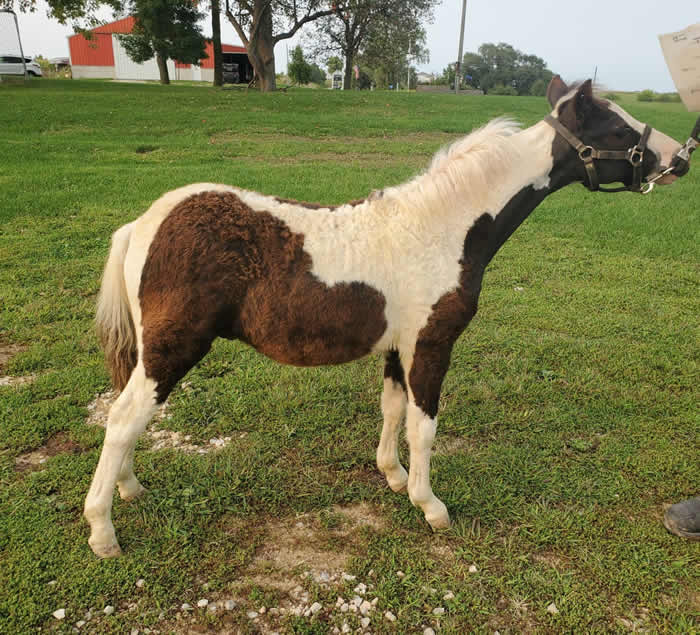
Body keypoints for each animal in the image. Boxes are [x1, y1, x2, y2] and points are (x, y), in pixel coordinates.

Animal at [85, 78, 688, 556]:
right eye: (617, 128)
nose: (679, 158)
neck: (443, 228)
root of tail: (144, 223)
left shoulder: (399, 347)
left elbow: (392, 409)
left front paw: (394, 478)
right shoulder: (431, 344)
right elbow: (424, 426)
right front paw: (431, 506)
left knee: (126, 415)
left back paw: (130, 489)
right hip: (175, 347)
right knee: (123, 418)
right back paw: (103, 533)